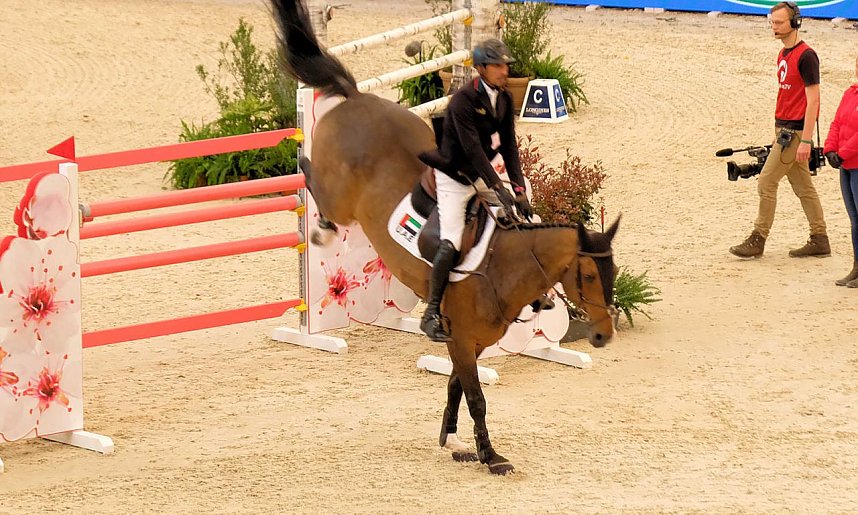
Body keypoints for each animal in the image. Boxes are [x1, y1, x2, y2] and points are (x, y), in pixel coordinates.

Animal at [271, 0, 619, 475]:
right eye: (586, 277)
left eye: (612, 274)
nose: (603, 336)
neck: (506, 268)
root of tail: (358, 97)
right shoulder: (461, 341)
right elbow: (477, 398)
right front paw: (491, 457)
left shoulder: (471, 344)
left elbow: (456, 388)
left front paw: (453, 439)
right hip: (340, 196)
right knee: (311, 176)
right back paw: (315, 216)